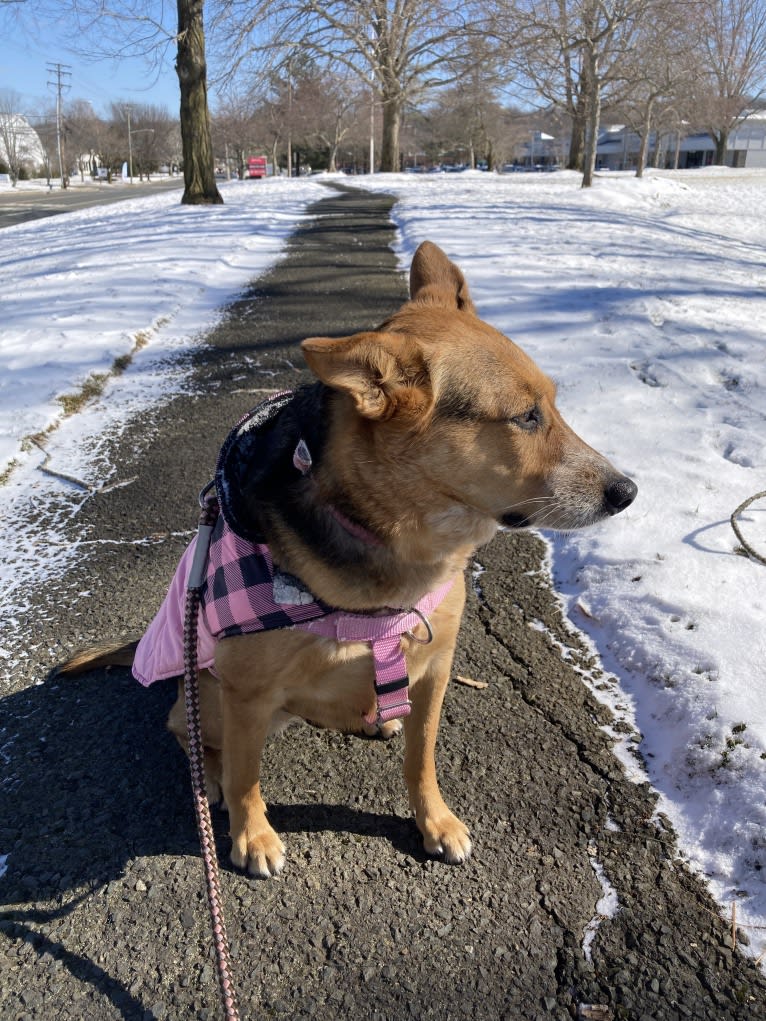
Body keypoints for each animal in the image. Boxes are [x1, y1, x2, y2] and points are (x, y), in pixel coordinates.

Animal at [58, 240, 637, 878]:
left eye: (552, 405)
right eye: (525, 417)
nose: (627, 492)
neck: (399, 543)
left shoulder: (434, 670)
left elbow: (421, 759)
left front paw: (434, 821)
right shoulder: (244, 692)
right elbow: (246, 778)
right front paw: (251, 834)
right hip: (207, 692)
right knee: (186, 731)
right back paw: (209, 773)